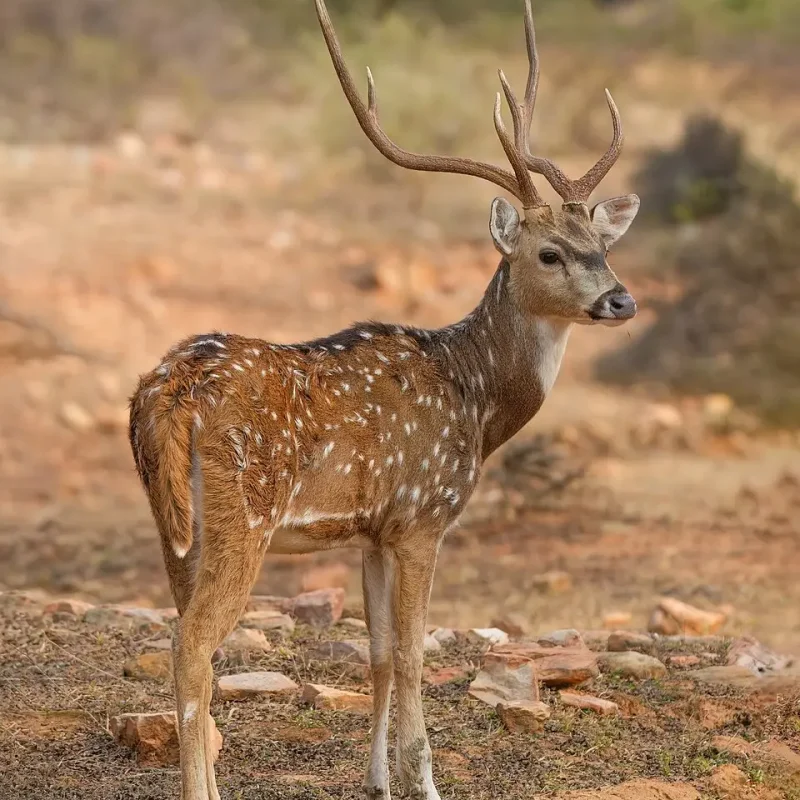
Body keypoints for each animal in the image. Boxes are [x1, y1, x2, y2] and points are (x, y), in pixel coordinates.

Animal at [128, 1, 640, 798]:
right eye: (549, 252)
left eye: (604, 245)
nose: (621, 299)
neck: (476, 398)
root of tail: (168, 391)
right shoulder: (423, 517)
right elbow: (411, 654)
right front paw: (424, 781)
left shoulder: (372, 530)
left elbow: (373, 655)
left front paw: (377, 780)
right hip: (244, 514)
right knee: (192, 644)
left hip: (171, 522)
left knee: (190, 640)